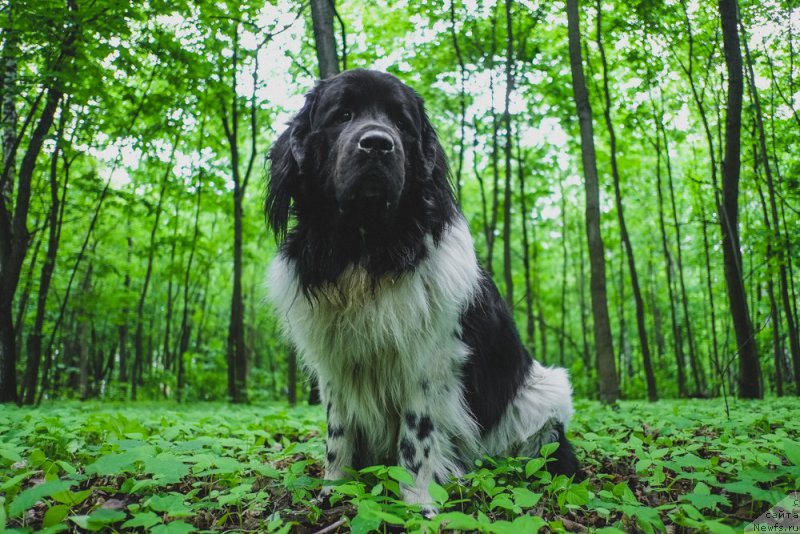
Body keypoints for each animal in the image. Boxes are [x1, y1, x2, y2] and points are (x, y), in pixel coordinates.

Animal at [268, 69, 576, 508]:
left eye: (401, 123)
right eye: (342, 115)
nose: (377, 143)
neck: (366, 250)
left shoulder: (430, 359)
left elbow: (416, 437)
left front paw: (417, 501)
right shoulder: (334, 364)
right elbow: (338, 432)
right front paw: (334, 490)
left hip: (545, 393)